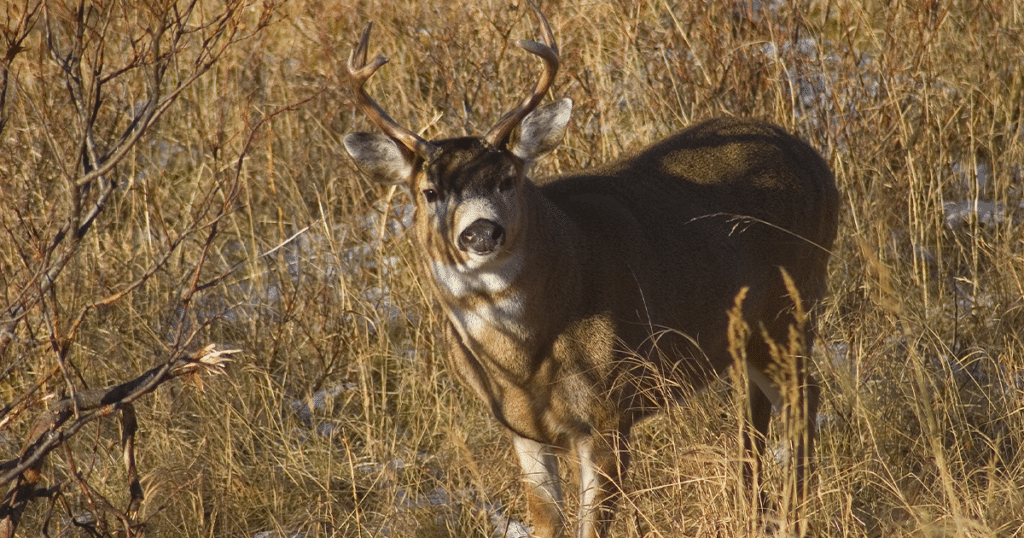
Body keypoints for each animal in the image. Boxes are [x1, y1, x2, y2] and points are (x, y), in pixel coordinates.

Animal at [339, 5, 835, 536]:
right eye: (429, 192)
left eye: (508, 179)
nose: (481, 232)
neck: (524, 362)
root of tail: (815, 160)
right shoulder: (521, 428)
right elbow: (546, 520)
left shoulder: (610, 409)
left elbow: (591, 524)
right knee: (756, 406)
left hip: (790, 307)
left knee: (803, 401)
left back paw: (792, 515)